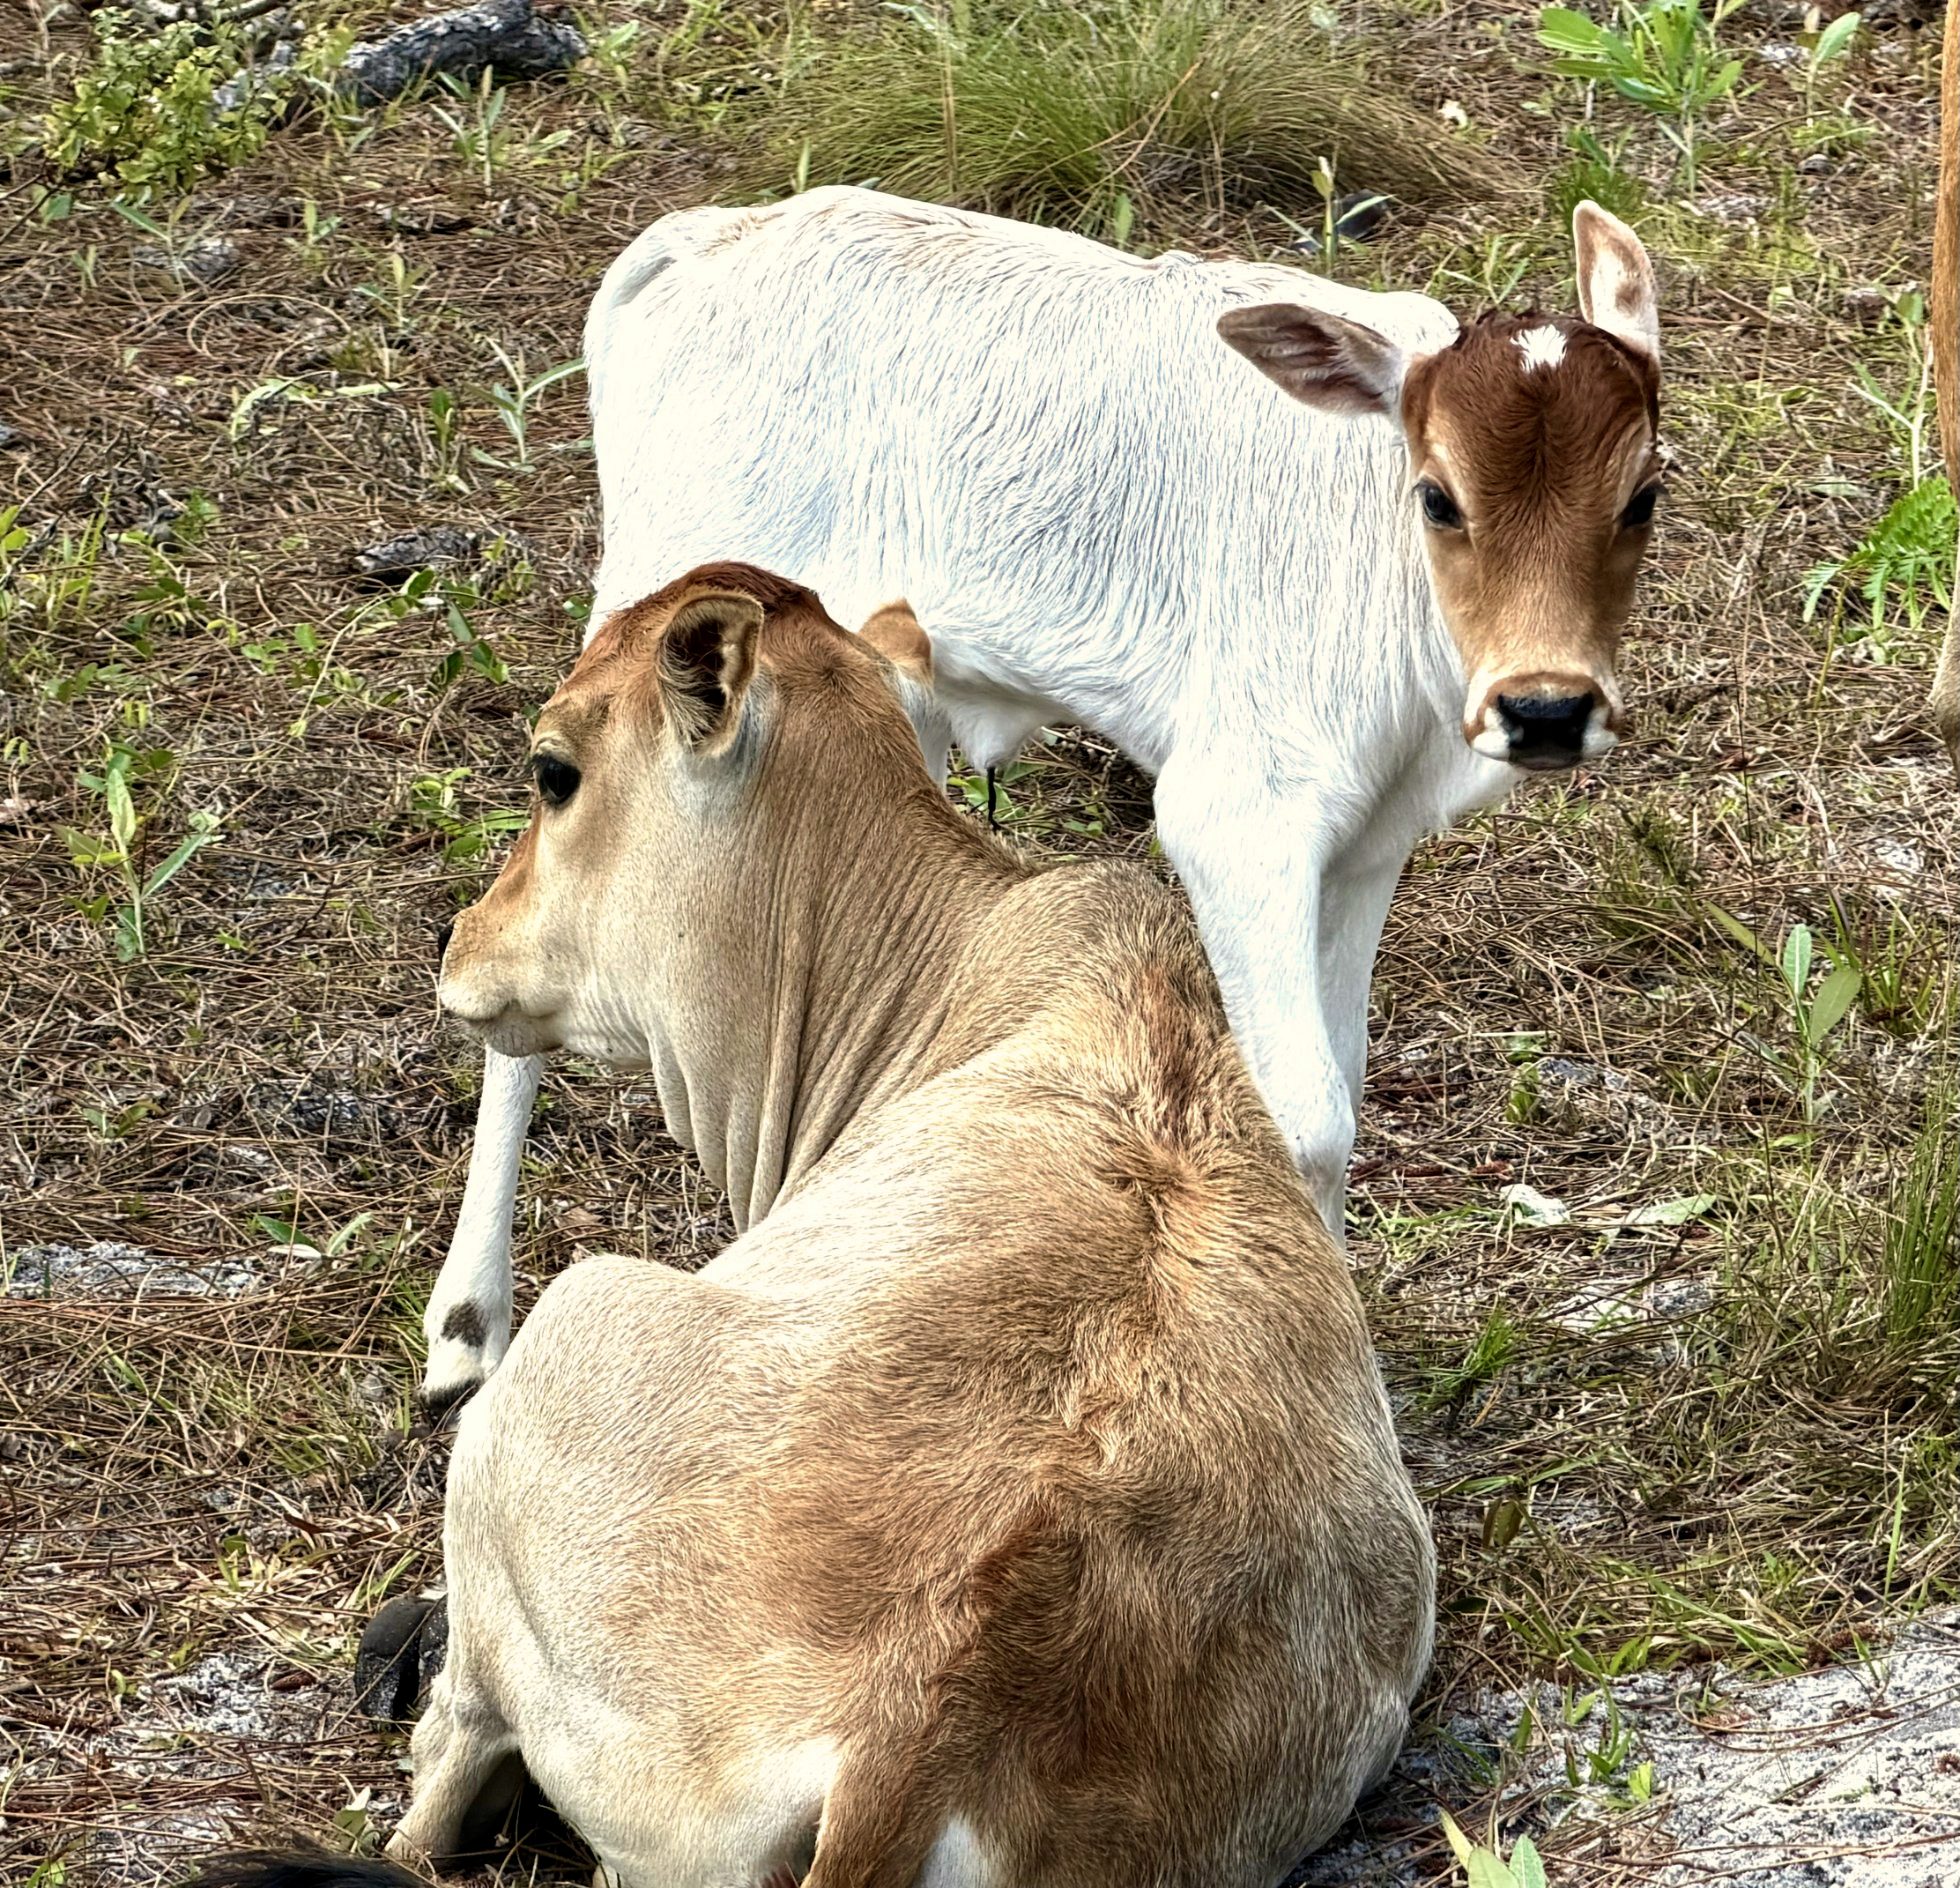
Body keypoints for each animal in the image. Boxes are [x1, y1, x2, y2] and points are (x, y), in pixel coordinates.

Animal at [420, 188, 1665, 1405]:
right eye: (1438, 497)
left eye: (1643, 494)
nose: (1544, 709)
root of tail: (713, 235)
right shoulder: (1237, 815)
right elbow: (1302, 1115)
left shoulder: (1368, 847)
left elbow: (1345, 1082)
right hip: (651, 617)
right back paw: (468, 1322)